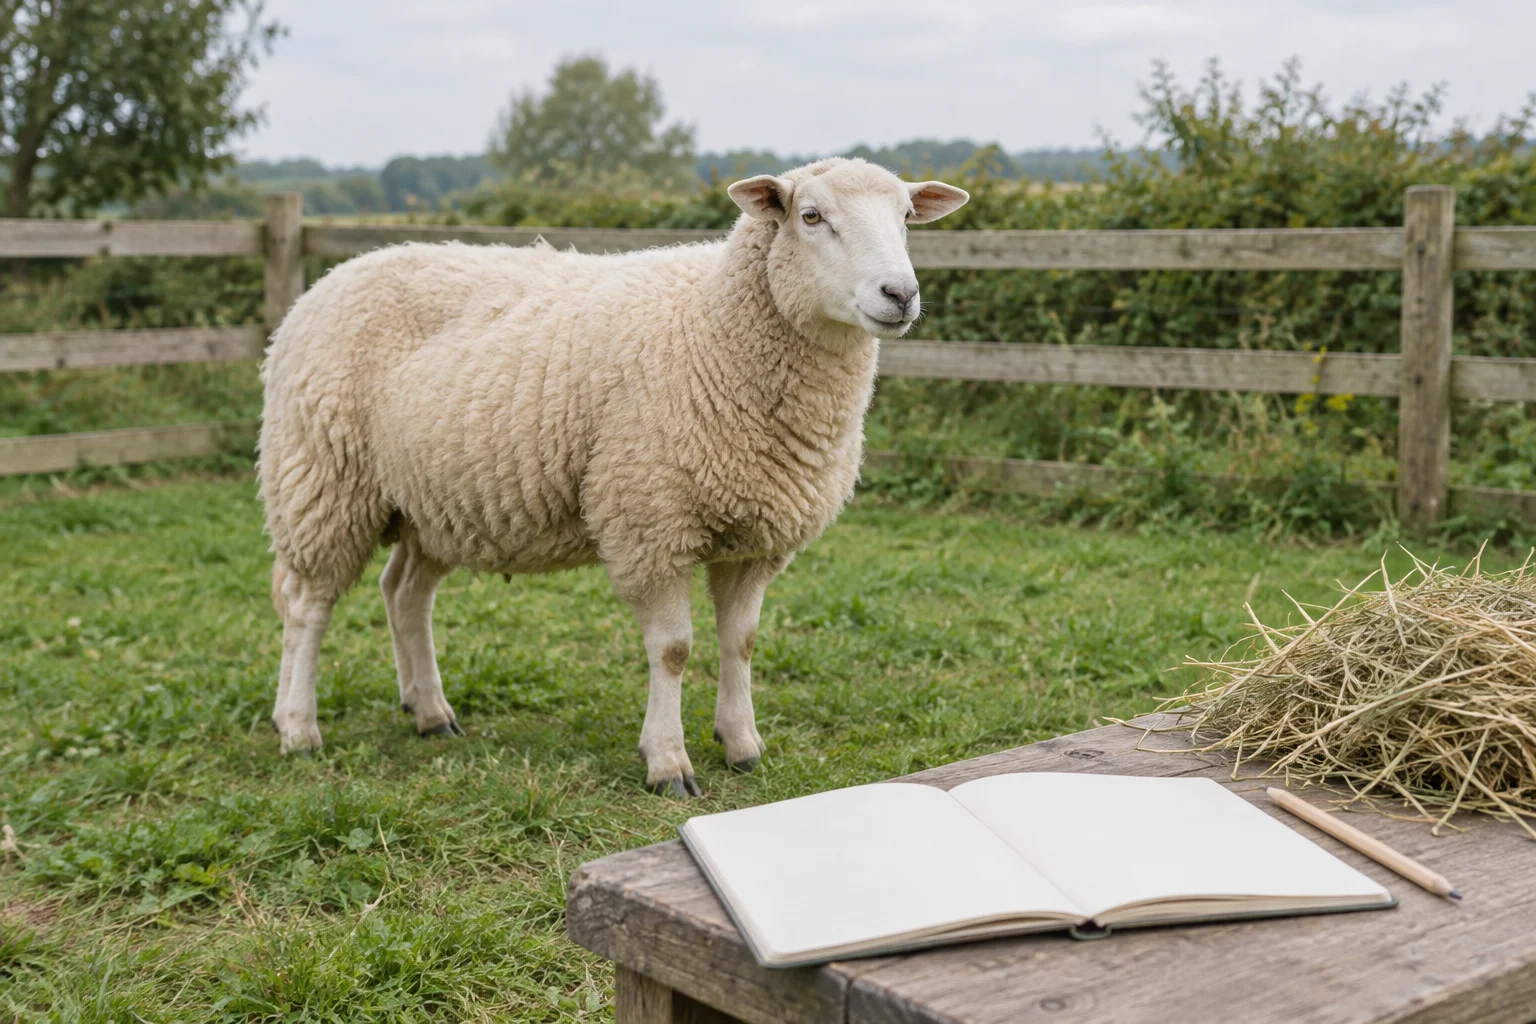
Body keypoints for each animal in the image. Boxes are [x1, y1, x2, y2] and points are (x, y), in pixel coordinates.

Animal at [258, 157, 969, 795]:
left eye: (906, 218)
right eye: (812, 216)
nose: (900, 295)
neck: (711, 327)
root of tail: (328, 281)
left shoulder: (757, 536)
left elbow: (740, 643)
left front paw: (742, 745)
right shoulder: (650, 518)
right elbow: (675, 649)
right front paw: (668, 763)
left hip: (430, 502)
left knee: (405, 594)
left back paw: (430, 713)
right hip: (322, 479)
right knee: (307, 606)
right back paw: (297, 728)